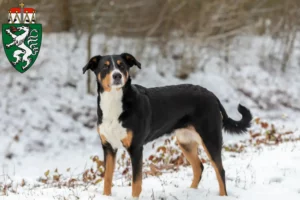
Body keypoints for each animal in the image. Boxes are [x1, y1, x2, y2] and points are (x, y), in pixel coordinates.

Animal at [82, 52, 253, 198]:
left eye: (122, 65)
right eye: (105, 67)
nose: (117, 75)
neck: (114, 102)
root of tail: (211, 94)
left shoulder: (136, 148)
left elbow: (136, 183)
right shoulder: (108, 147)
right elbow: (107, 179)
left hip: (210, 139)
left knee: (220, 171)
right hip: (185, 141)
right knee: (199, 167)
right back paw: (191, 192)